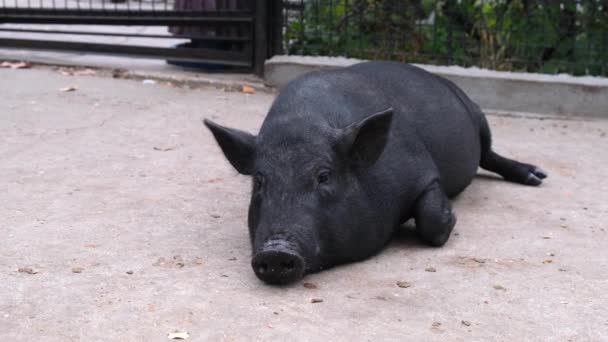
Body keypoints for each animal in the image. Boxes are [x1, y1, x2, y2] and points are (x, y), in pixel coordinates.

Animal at [204, 62, 548, 286]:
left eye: (324, 176)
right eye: (259, 181)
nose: (276, 250)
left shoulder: (423, 170)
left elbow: (432, 219)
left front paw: (451, 218)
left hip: (479, 117)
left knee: (489, 155)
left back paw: (537, 177)